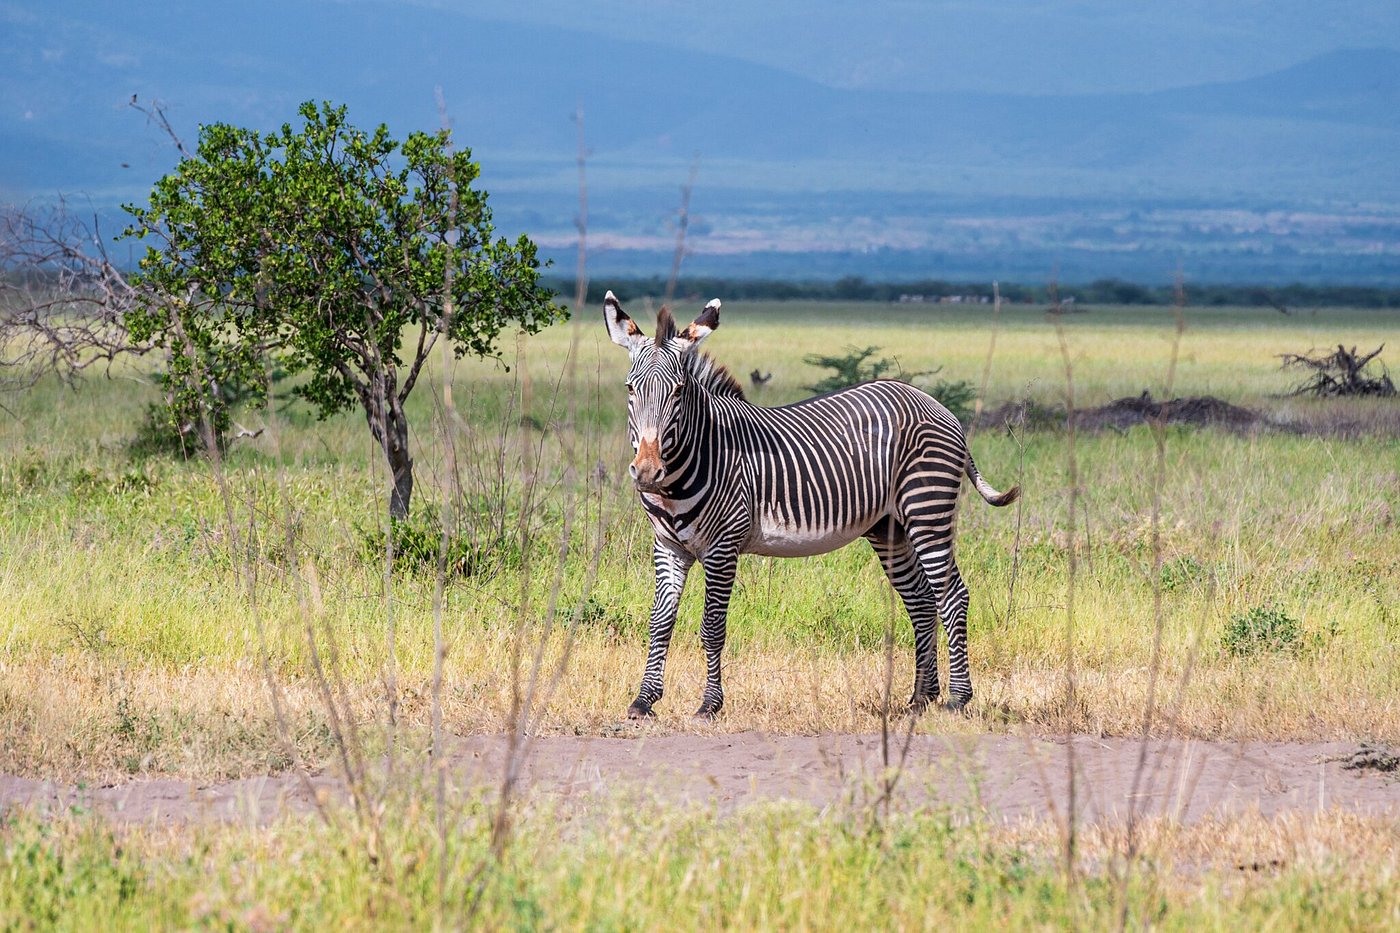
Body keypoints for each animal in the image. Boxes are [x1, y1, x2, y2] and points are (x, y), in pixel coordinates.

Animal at [604, 291, 1019, 720]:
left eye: (679, 391)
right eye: (630, 389)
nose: (647, 471)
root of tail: (935, 404)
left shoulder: (723, 547)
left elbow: (712, 626)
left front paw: (710, 704)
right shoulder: (669, 547)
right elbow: (660, 623)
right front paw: (644, 699)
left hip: (928, 511)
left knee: (951, 597)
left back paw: (957, 698)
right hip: (890, 528)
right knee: (920, 600)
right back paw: (921, 697)